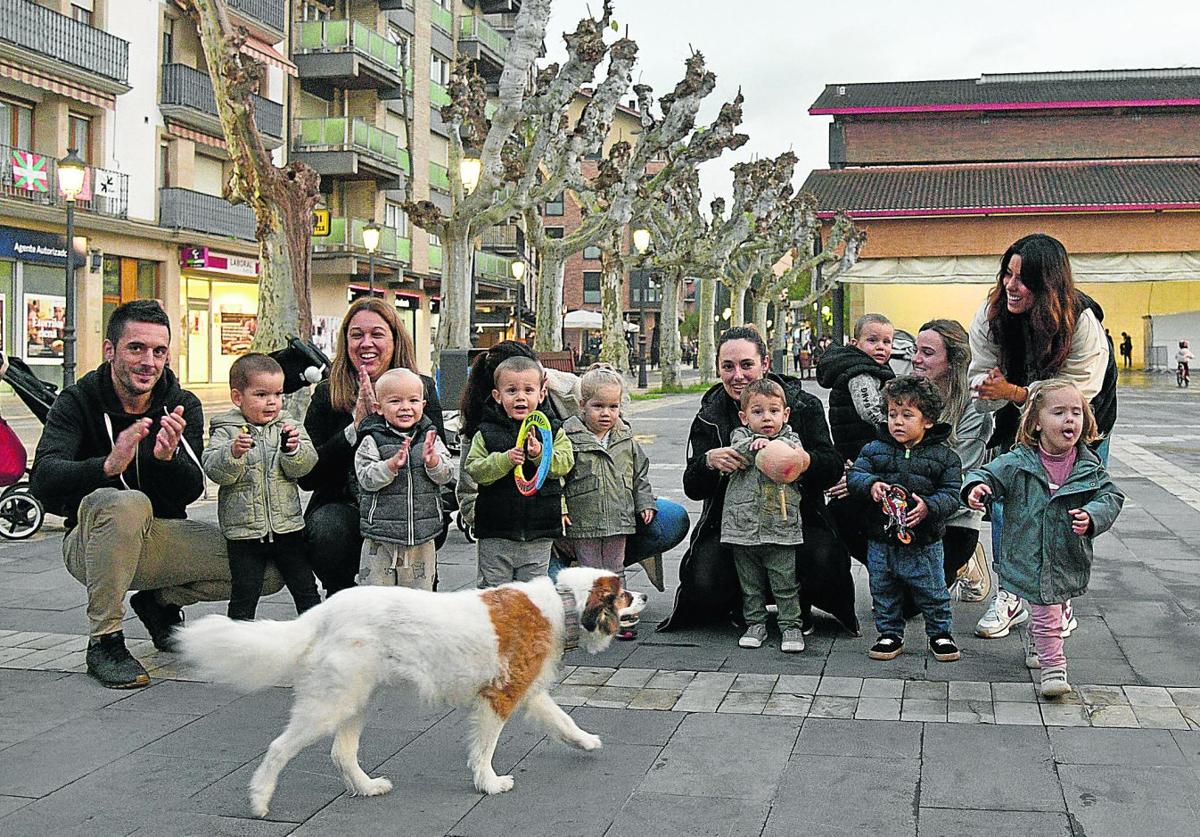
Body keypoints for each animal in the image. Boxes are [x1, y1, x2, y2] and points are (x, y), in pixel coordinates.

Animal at [176, 568, 643, 815]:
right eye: (621, 595)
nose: (639, 597)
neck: (563, 604)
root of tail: (323, 611)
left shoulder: (527, 692)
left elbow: (563, 720)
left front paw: (586, 742)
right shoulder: (500, 697)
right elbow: (485, 749)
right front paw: (488, 783)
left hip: (356, 701)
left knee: (341, 753)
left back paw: (366, 788)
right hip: (330, 705)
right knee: (278, 748)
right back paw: (259, 799)